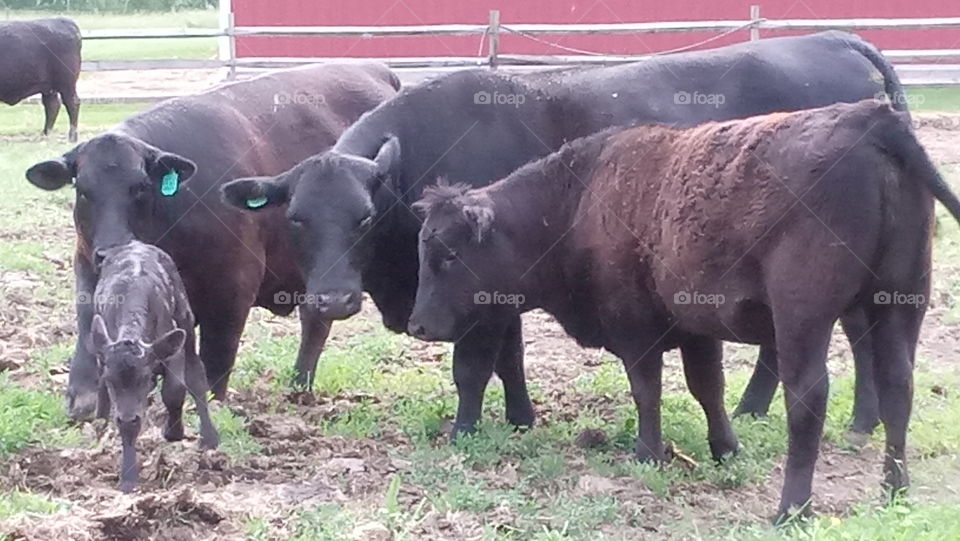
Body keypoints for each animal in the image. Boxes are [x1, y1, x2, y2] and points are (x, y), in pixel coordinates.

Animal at [25, 63, 400, 421]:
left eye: (140, 187)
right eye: (82, 189)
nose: (112, 248)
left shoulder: (232, 288)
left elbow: (217, 357)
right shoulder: (89, 265)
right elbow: (91, 325)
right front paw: (85, 399)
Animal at [89, 241, 218, 493]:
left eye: (145, 379)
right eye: (111, 381)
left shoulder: (172, 350)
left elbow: (174, 391)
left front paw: (174, 432)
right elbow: (127, 422)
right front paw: (128, 478)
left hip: (185, 322)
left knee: (196, 375)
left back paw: (209, 438)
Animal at [220, 32, 906, 439]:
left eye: (363, 216)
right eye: (297, 217)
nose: (333, 299)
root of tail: (829, 39)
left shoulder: (484, 290)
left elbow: (475, 365)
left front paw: (466, 431)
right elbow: (510, 361)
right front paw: (521, 420)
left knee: (856, 332)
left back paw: (859, 420)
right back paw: (764, 409)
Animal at [407, 99, 960, 521]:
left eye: (448, 254)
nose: (417, 325)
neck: (578, 202)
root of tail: (869, 117)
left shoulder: (635, 329)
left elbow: (647, 391)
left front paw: (648, 454)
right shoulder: (698, 330)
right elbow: (707, 388)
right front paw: (726, 448)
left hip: (804, 318)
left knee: (807, 399)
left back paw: (791, 508)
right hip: (899, 305)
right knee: (898, 387)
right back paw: (894, 492)